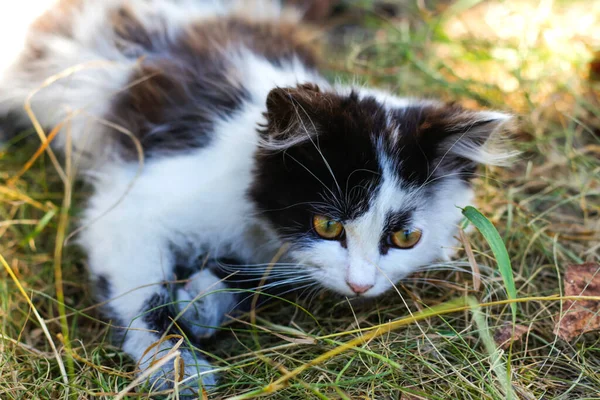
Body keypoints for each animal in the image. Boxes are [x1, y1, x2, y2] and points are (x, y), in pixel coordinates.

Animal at [1, 0, 510, 394]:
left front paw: (205, 298)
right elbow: (142, 294)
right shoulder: (129, 208)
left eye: (406, 238)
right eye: (328, 225)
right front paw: (176, 366)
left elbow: (272, 271)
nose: (361, 287)